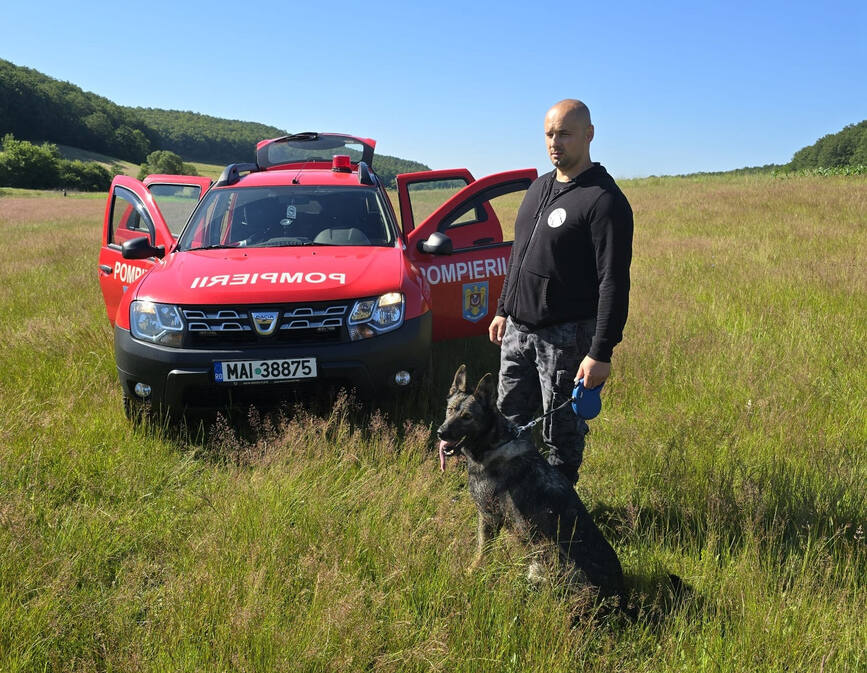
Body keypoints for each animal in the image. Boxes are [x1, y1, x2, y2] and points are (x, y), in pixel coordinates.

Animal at [440, 364, 624, 600]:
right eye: (450, 410)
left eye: (467, 417)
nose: (440, 433)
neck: (493, 444)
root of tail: (620, 595)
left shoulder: (488, 515)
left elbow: (482, 550)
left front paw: (472, 572)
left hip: (546, 556)